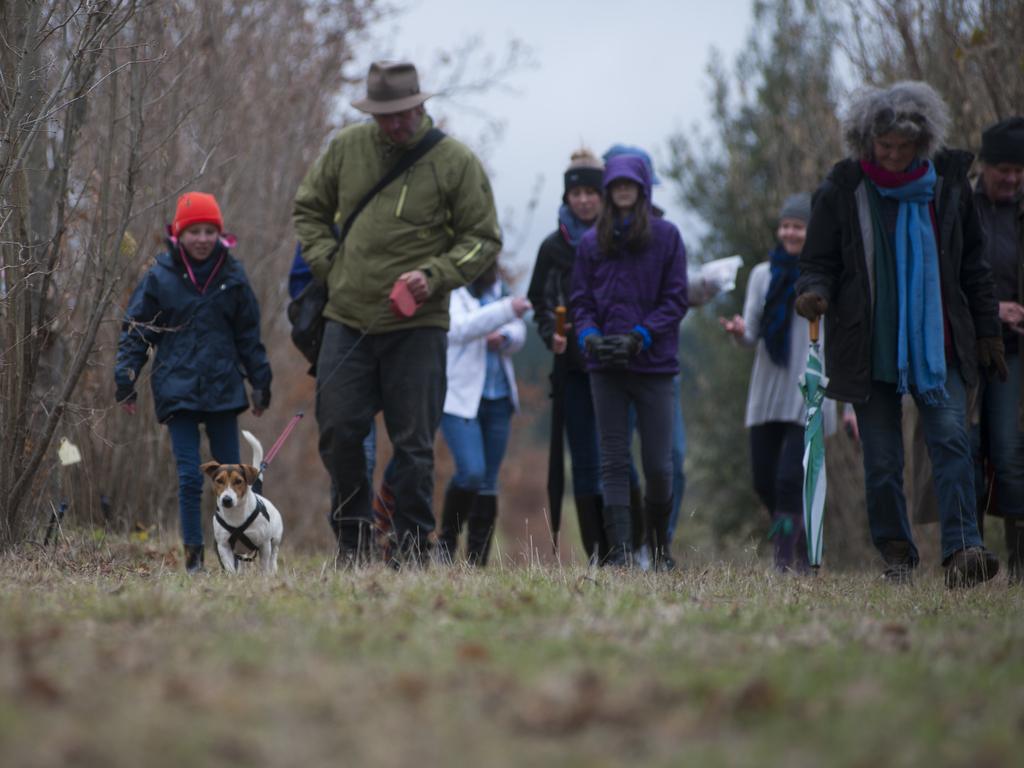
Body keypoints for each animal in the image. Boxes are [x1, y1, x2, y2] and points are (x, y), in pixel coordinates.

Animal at [200, 430, 284, 573]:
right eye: (219, 480)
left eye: (238, 481)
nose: (226, 500)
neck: (235, 514)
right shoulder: (223, 546)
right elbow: (229, 567)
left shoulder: (264, 545)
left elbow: (264, 565)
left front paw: (265, 576)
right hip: (241, 553)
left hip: (275, 540)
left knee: (273, 556)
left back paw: (273, 571)